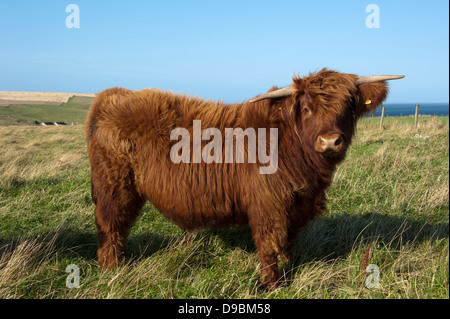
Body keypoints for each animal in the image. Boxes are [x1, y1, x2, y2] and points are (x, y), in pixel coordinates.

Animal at [85, 69, 404, 290]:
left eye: (349, 106)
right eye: (307, 108)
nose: (329, 141)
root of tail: (112, 94)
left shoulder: (296, 205)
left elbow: (286, 241)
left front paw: (288, 267)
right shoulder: (269, 204)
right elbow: (270, 242)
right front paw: (272, 284)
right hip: (115, 185)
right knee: (111, 224)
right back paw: (112, 269)